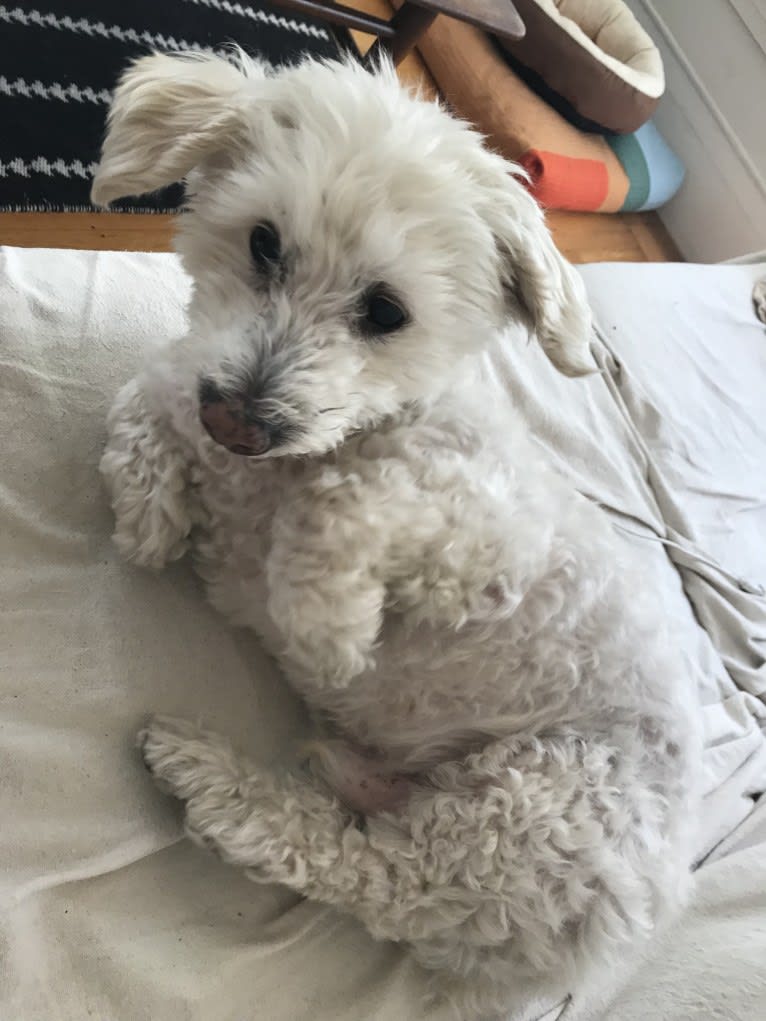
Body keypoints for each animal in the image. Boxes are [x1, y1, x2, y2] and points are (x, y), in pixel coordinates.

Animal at [91, 49, 702, 1021]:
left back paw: (221, 789)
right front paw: (148, 511)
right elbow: (149, 393)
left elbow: (347, 502)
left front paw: (328, 628)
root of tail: (597, 957)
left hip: (532, 806)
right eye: (264, 243)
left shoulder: (495, 545)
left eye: (386, 312)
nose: (240, 421)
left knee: (368, 871)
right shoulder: (197, 394)